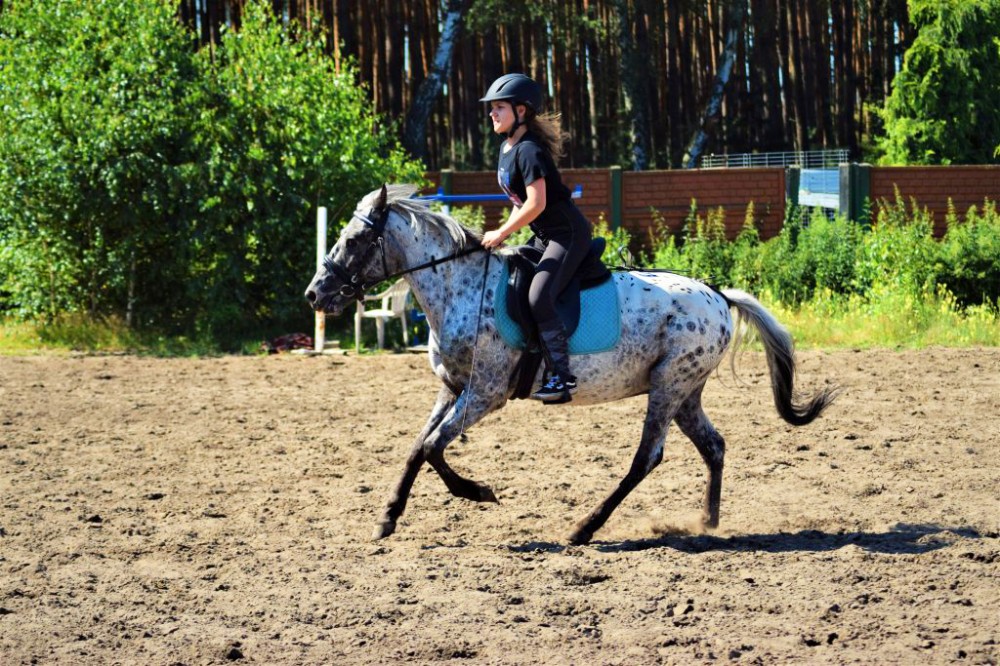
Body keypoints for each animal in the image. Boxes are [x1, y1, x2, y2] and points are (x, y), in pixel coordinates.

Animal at [304, 184, 836, 544]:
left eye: (355, 242)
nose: (315, 295)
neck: (460, 287)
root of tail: (719, 295)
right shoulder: (452, 389)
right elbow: (419, 447)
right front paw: (389, 516)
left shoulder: (486, 393)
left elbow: (433, 448)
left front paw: (477, 493)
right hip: (686, 391)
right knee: (714, 445)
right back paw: (707, 521)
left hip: (669, 385)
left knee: (647, 458)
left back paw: (584, 528)